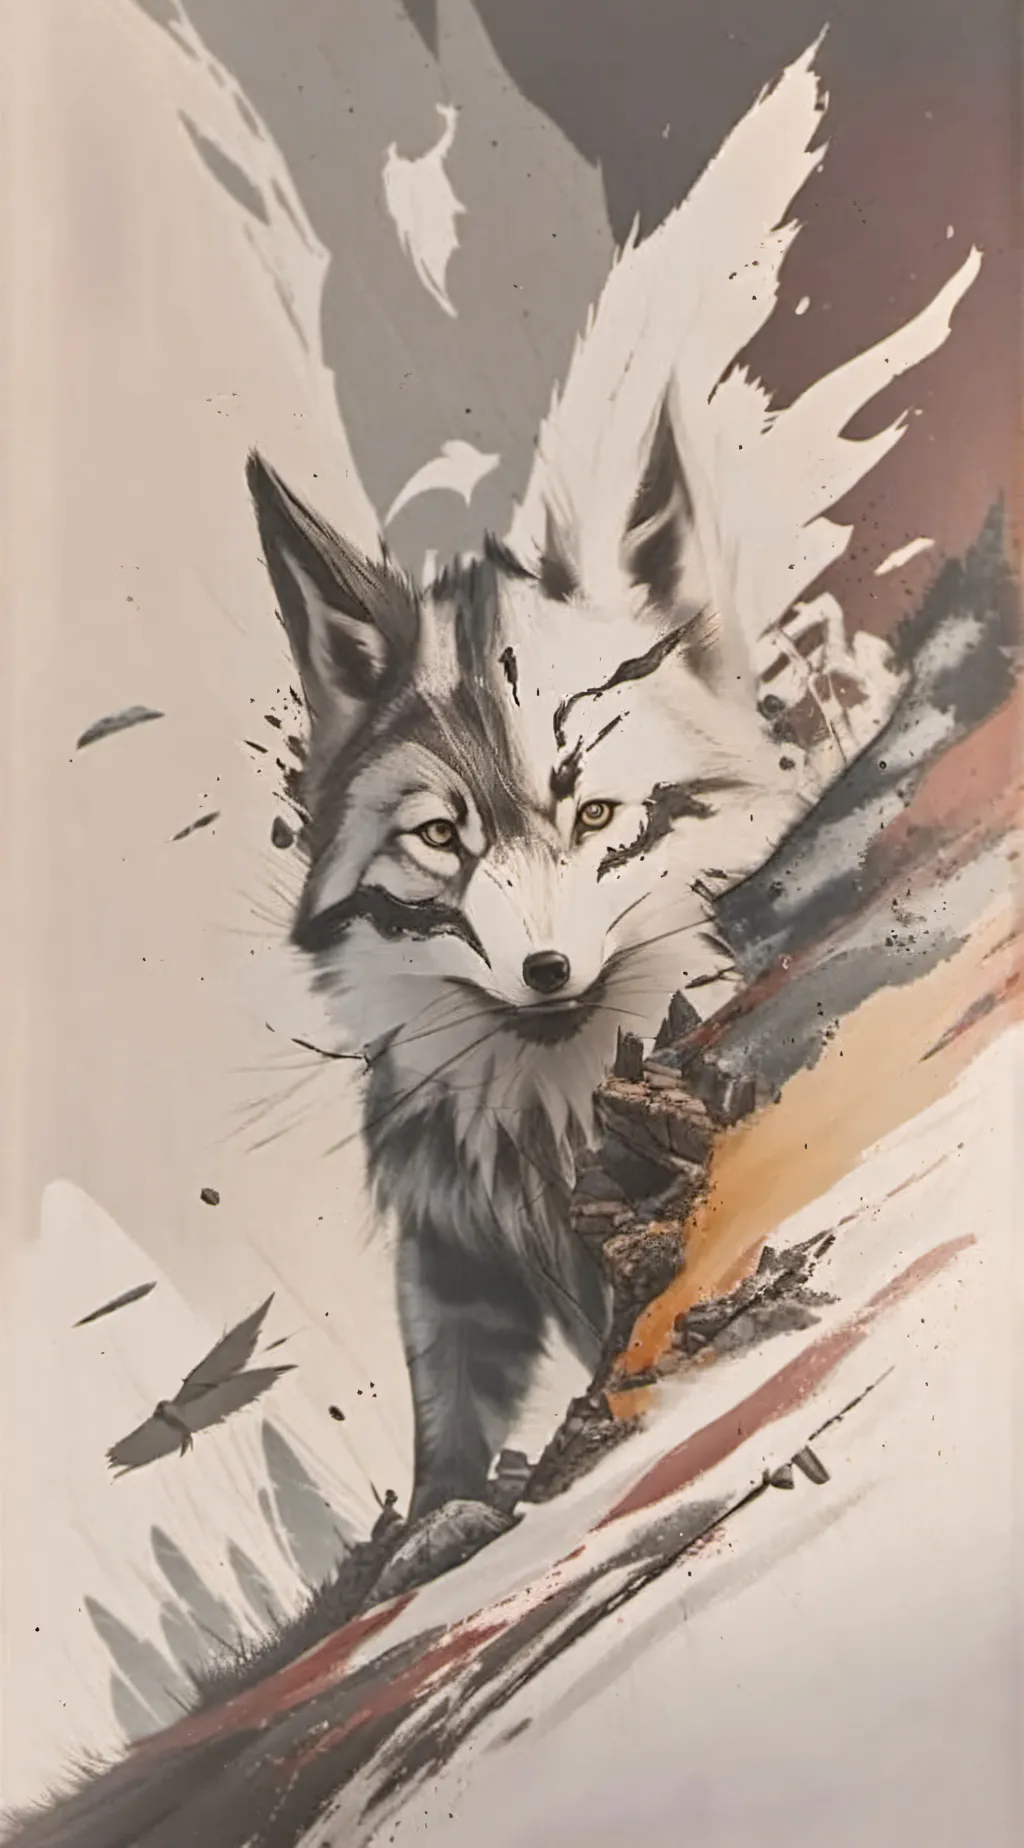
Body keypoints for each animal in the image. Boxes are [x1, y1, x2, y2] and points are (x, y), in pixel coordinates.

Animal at [246, 391, 809, 1522]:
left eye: (593, 814)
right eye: (440, 838)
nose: (544, 971)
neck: (553, 1116)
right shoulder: (453, 1257)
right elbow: (446, 1425)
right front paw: (443, 1519)